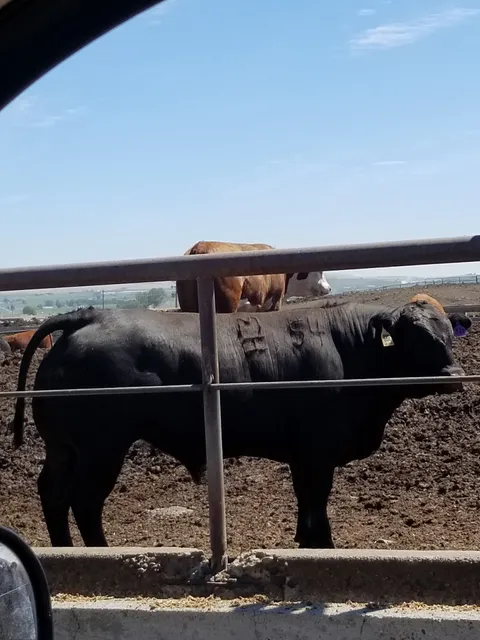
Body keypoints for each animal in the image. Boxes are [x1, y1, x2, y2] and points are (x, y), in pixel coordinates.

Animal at [12, 299, 463, 549]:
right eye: (416, 337)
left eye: (448, 333)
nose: (454, 374)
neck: (349, 347)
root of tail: (87, 316)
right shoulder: (318, 452)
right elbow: (317, 501)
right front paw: (324, 544)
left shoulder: (303, 455)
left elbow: (306, 501)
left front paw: (306, 540)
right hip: (101, 448)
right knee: (84, 501)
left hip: (64, 448)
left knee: (52, 494)